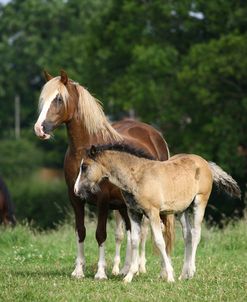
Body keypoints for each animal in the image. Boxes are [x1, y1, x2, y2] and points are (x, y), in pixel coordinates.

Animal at [34, 70, 174, 278]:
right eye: (43, 99)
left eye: (59, 98)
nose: (39, 129)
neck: (83, 152)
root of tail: (155, 135)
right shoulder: (76, 199)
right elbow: (81, 231)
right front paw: (79, 270)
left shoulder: (102, 200)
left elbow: (100, 234)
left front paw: (100, 272)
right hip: (125, 206)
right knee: (132, 232)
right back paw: (127, 269)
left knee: (160, 232)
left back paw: (163, 271)